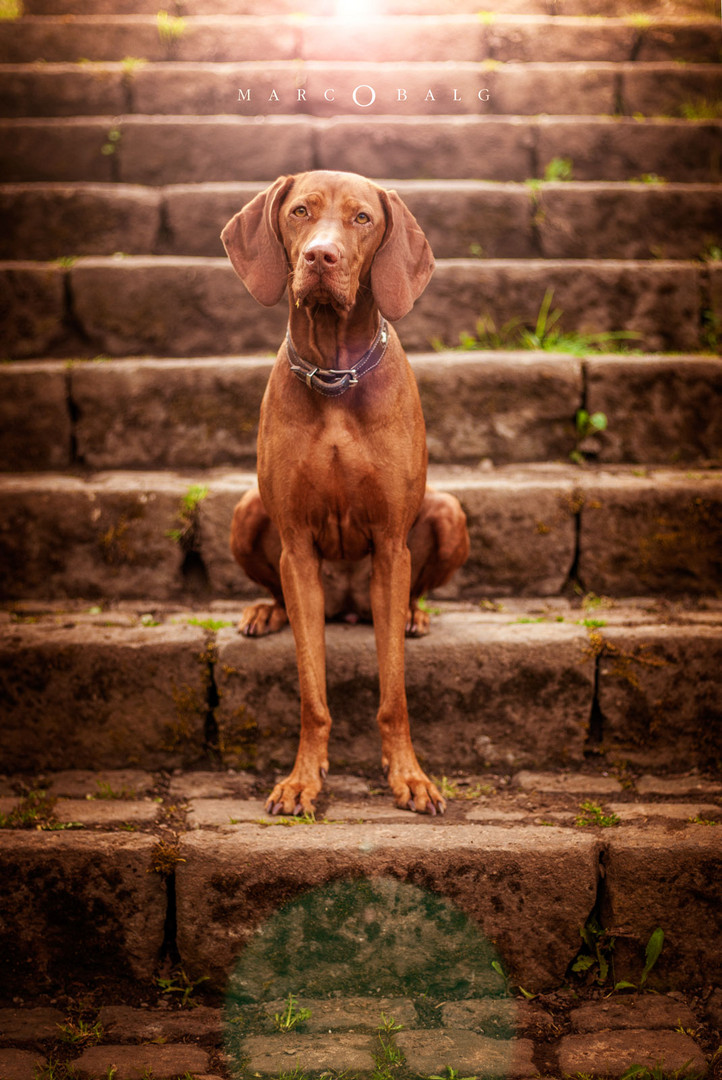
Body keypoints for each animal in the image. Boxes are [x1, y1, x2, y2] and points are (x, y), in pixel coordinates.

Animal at [222, 166, 470, 816]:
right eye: (300, 212)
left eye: (362, 218)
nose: (320, 257)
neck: (334, 376)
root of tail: (351, 607)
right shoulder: (298, 547)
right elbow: (313, 694)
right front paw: (301, 781)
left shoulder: (389, 542)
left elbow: (394, 694)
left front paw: (409, 777)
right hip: (248, 515)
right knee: (282, 594)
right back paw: (265, 612)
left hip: (445, 515)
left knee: (408, 594)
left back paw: (413, 616)